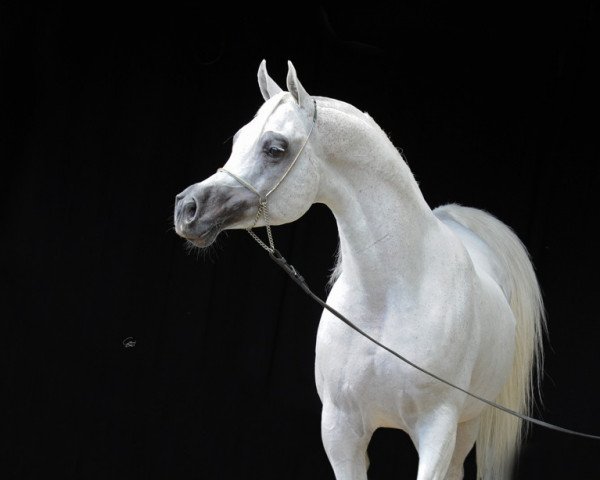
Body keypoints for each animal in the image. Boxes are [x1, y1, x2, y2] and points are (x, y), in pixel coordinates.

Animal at [172, 62, 544, 478]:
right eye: (238, 139)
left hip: (467, 427)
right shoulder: (340, 431)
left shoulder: (437, 430)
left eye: (275, 148)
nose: (187, 208)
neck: (389, 296)